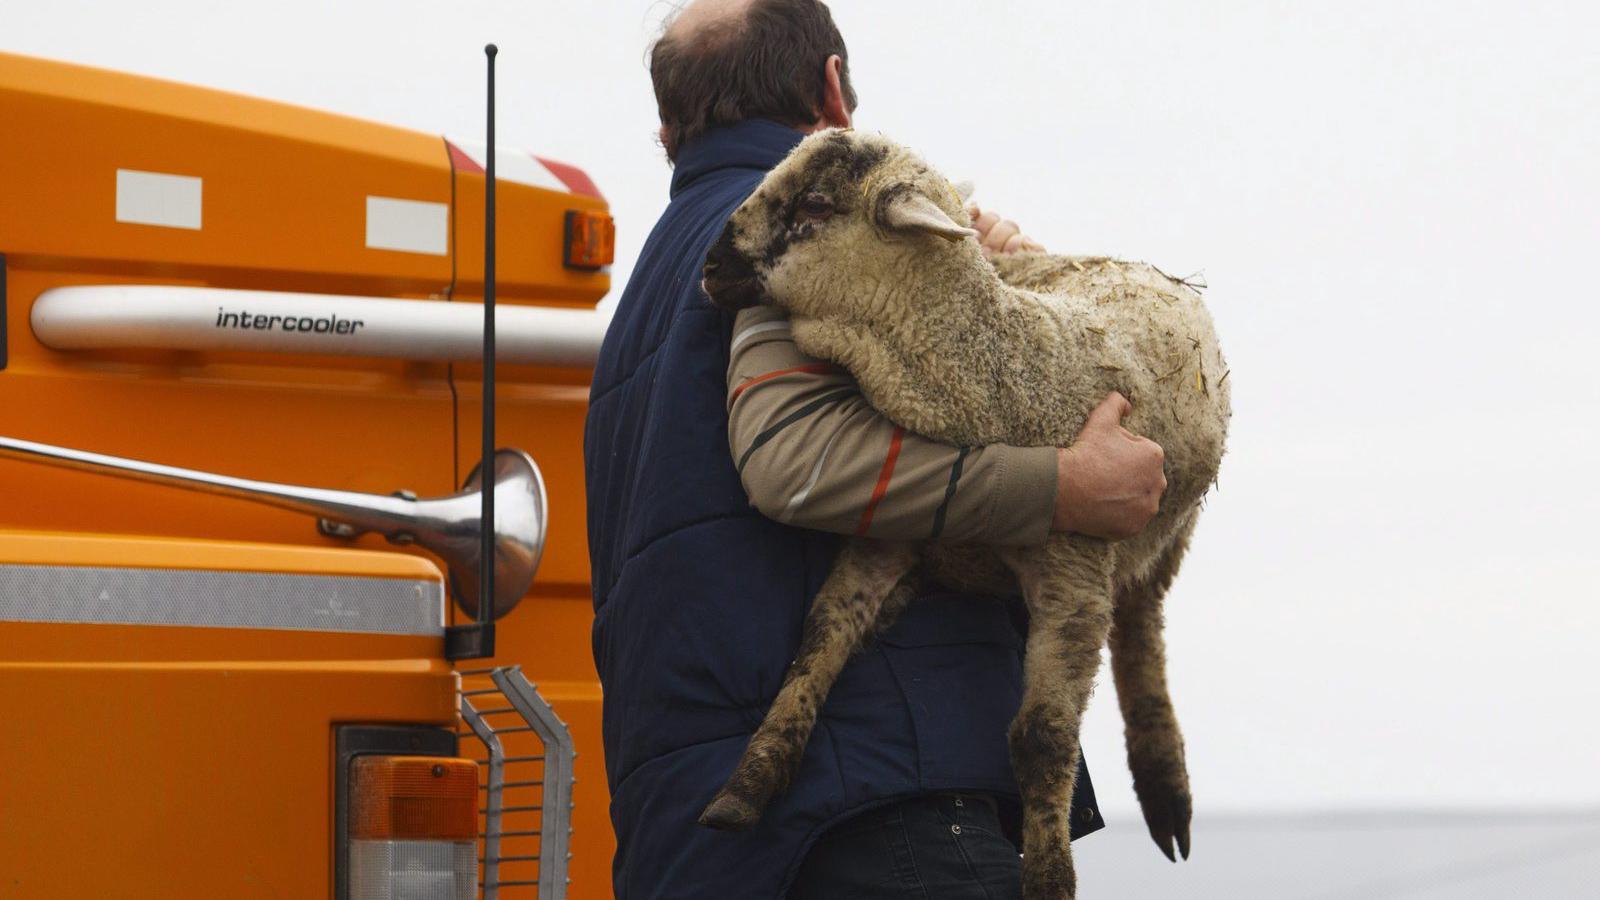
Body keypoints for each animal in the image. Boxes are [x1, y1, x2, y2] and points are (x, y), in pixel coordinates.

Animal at [694, 128, 1228, 896]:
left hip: (1168, 532)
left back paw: (1165, 788)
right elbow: (816, 643)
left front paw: (1048, 877)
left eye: (815, 205)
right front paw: (747, 787)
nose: (710, 266)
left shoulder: (1075, 575)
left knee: (1141, 629)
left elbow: (1041, 738)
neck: (999, 381)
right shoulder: (889, 539)